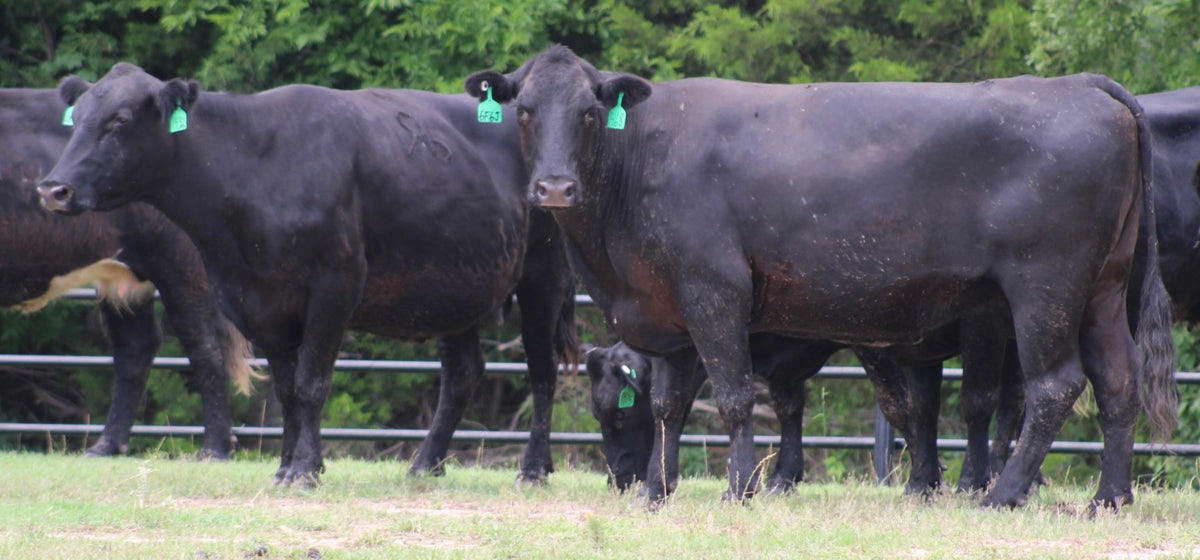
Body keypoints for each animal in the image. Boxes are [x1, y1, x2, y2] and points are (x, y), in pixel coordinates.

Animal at [0, 87, 256, 459]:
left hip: (181, 267)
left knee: (206, 347)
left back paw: (216, 448)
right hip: (123, 277)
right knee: (135, 348)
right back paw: (106, 444)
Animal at [36, 64, 578, 487]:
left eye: (119, 121)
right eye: (76, 119)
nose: (53, 189)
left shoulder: (333, 287)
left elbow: (313, 382)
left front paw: (304, 470)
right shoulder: (257, 299)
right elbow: (287, 389)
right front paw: (286, 467)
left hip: (544, 271)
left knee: (542, 370)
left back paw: (533, 468)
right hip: (455, 285)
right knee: (463, 372)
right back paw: (426, 464)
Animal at [465, 45, 1177, 509]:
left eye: (589, 112)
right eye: (524, 110)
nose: (555, 187)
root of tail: (1079, 85)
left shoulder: (715, 291)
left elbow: (731, 397)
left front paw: (740, 490)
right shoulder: (667, 311)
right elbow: (669, 405)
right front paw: (655, 493)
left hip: (1043, 289)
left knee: (1054, 386)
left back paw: (1000, 494)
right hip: (1102, 289)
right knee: (1117, 381)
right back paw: (1110, 499)